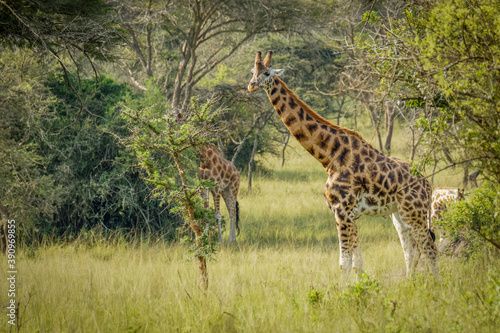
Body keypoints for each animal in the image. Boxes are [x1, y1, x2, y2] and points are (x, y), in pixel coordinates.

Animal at [248, 50, 436, 278]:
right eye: (252, 71)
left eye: (266, 72)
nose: (251, 86)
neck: (329, 157)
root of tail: (428, 185)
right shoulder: (349, 213)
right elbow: (357, 263)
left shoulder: (342, 210)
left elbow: (344, 263)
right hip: (399, 214)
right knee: (411, 251)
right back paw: (410, 282)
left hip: (414, 212)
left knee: (429, 248)